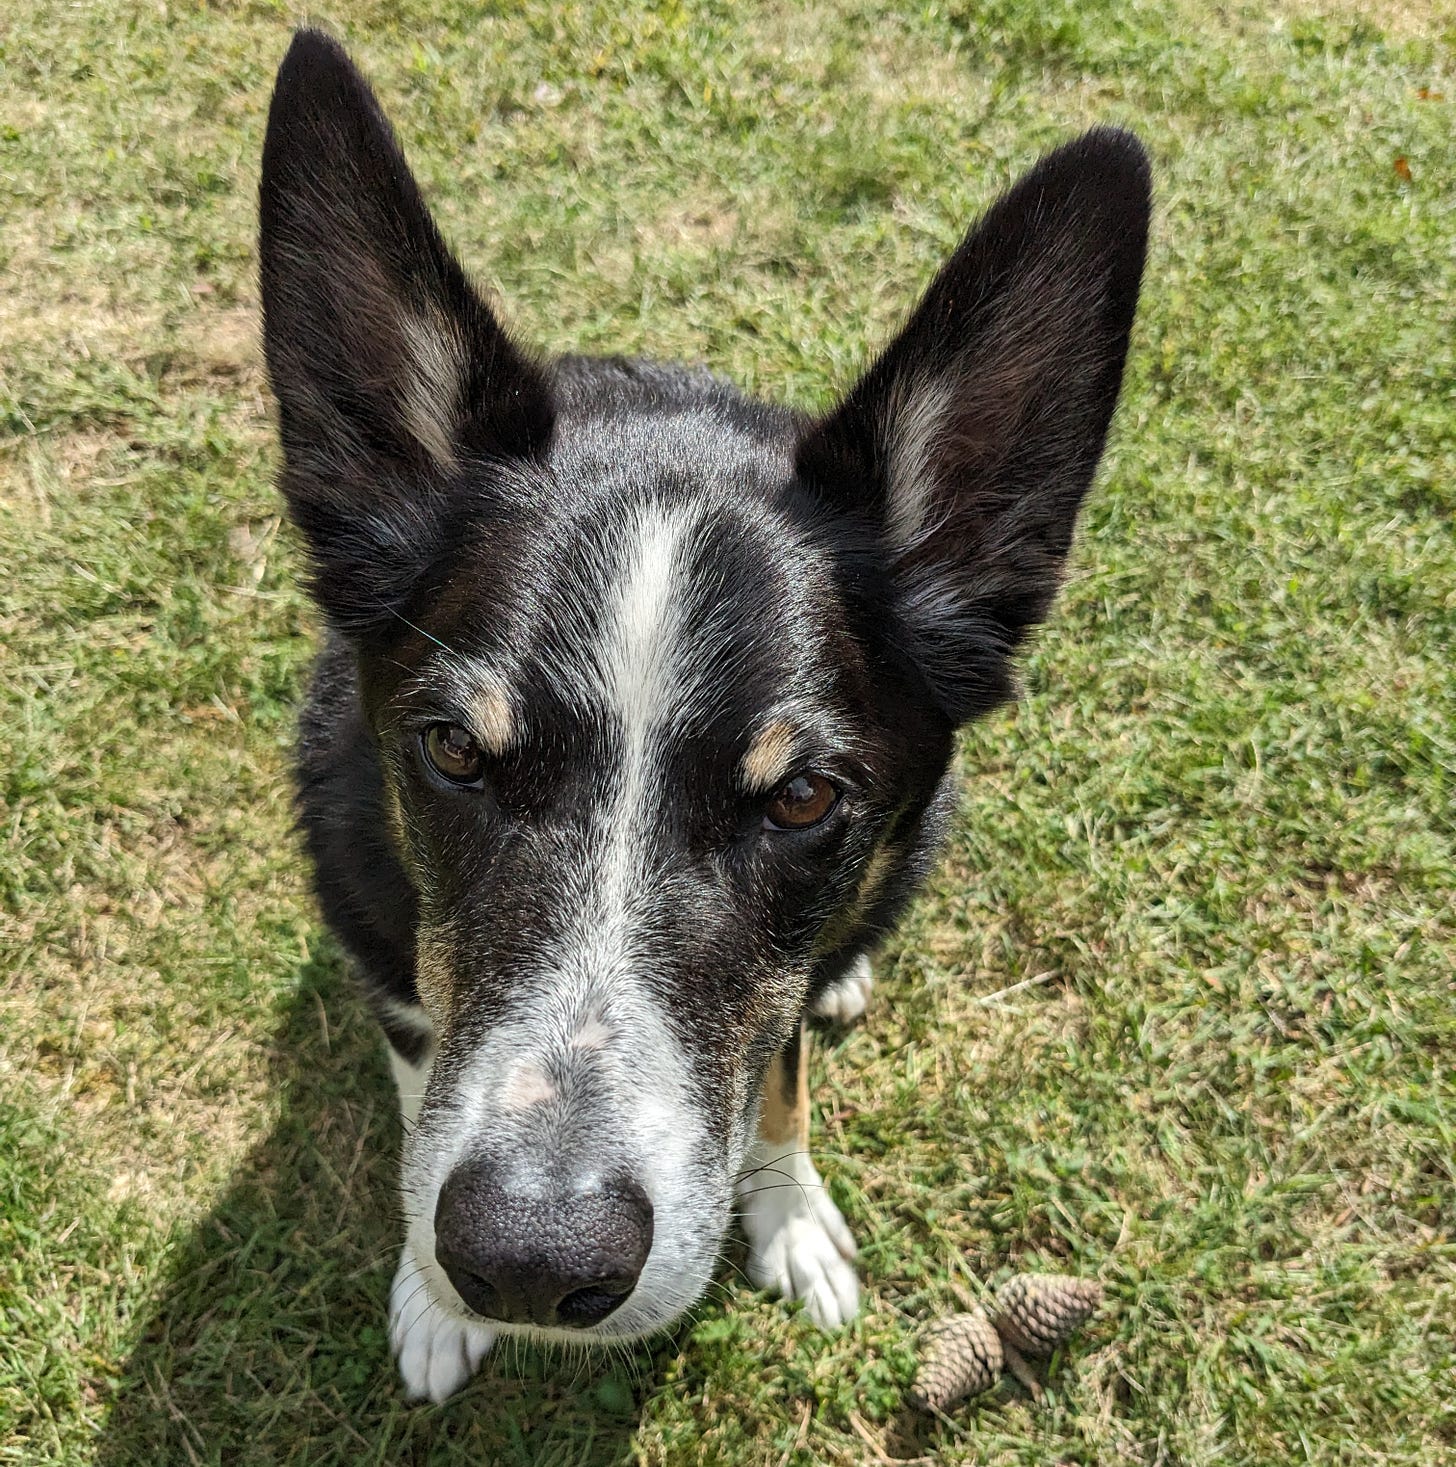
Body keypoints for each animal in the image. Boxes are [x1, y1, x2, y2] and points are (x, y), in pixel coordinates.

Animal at [258, 28, 1149, 1402]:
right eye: (453, 750)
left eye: (803, 798)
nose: (527, 1264)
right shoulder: (392, 953)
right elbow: (420, 1085)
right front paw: (427, 1292)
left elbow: (779, 1083)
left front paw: (787, 1220)